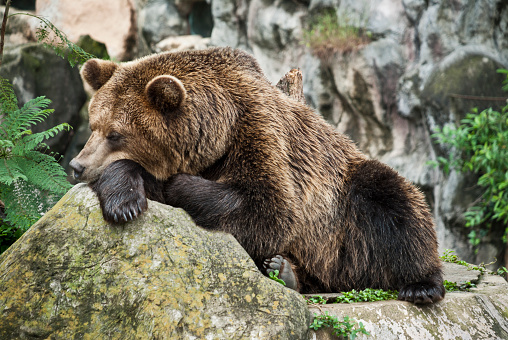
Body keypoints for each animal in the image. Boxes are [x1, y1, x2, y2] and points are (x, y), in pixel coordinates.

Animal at [70, 46, 444, 304]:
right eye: (93, 125)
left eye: (115, 134)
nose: (76, 165)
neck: (217, 131)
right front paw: (124, 201)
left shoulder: (260, 134)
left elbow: (268, 209)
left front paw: (169, 184)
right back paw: (284, 270)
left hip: (342, 213)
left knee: (393, 200)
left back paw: (421, 285)